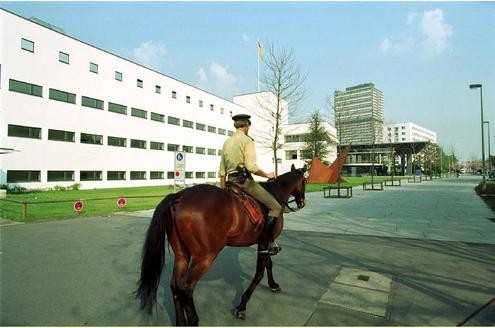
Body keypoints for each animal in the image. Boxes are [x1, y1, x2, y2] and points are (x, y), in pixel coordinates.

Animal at [136, 164, 306, 326]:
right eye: (304, 181)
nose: (302, 203)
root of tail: (179, 197)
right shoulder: (264, 242)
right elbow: (259, 272)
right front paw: (242, 306)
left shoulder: (263, 243)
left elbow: (268, 265)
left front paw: (273, 284)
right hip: (205, 258)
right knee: (186, 287)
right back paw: (193, 320)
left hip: (181, 256)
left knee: (175, 286)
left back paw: (181, 322)